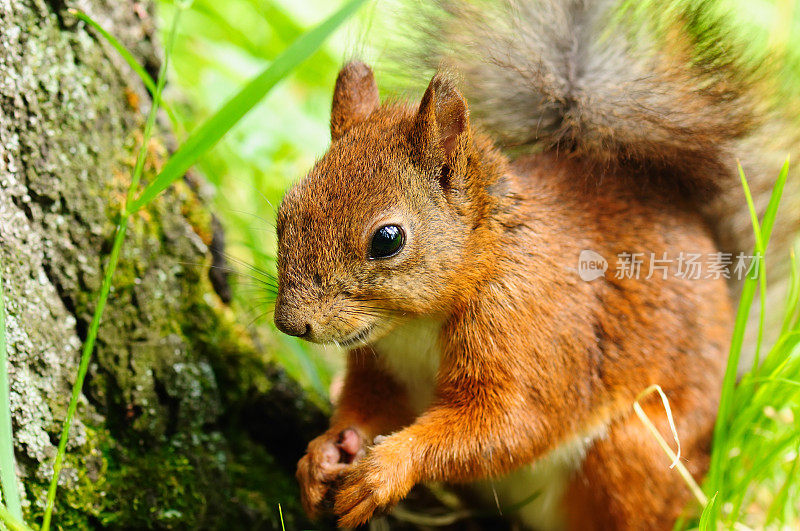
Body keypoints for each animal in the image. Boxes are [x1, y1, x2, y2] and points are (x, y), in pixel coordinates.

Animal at [272, 2, 796, 528]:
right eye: (284, 213)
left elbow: (510, 427)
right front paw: (320, 457)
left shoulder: (535, 339)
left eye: (387, 239)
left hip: (637, 452)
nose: (292, 324)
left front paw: (386, 471)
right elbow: (366, 405)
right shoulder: (382, 366)